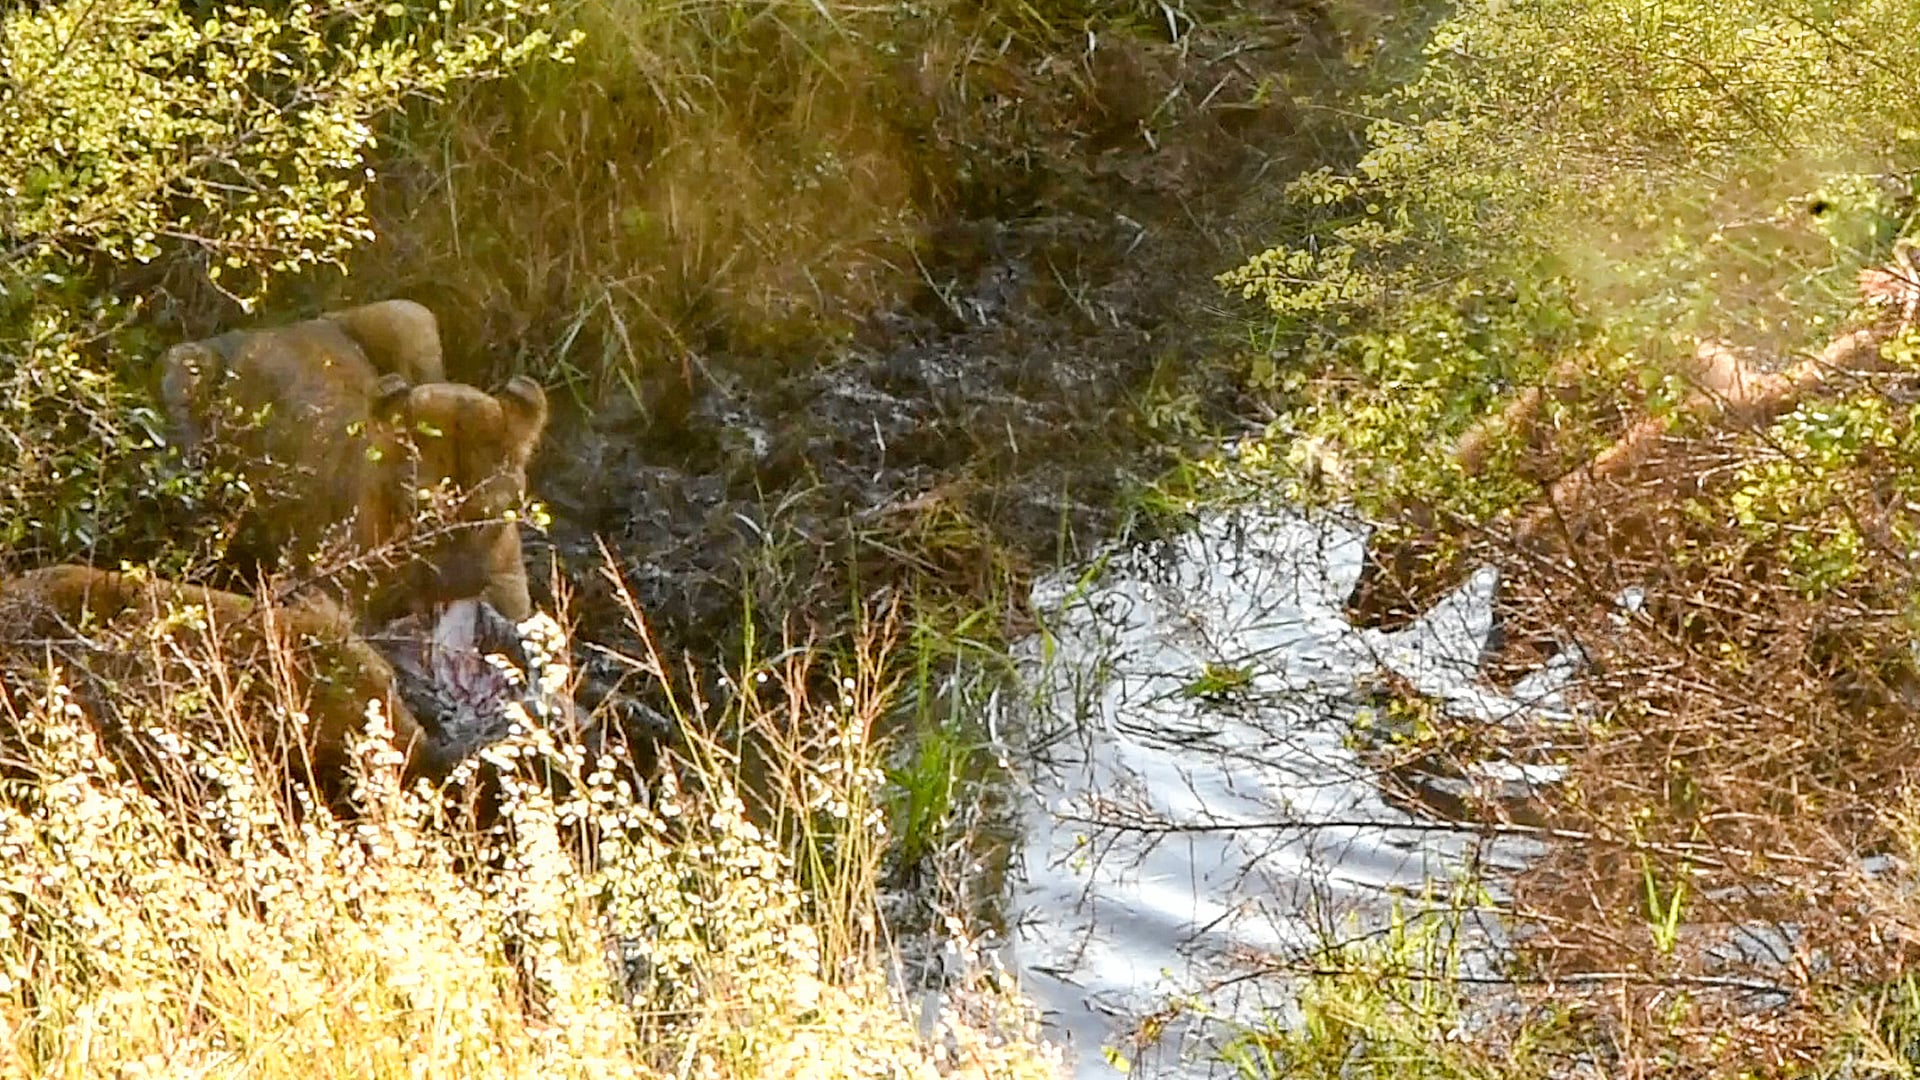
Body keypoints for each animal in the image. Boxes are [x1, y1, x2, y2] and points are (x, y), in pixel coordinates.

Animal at [160, 300, 548, 625]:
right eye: (417, 513)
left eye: (493, 513)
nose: (457, 590)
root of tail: (279, 328)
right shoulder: (317, 593)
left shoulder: (512, 595)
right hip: (182, 365)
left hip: (411, 315)